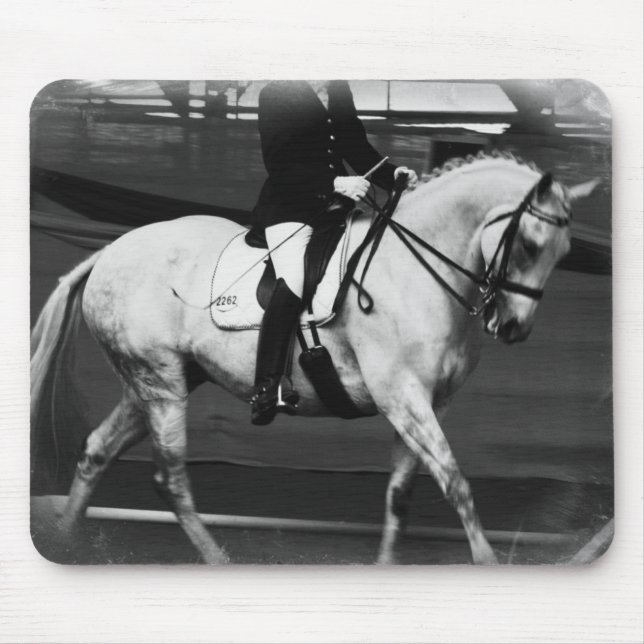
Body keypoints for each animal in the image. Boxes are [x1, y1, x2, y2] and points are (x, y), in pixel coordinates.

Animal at [31, 154, 599, 564]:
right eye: (529, 244)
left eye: (564, 253)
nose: (513, 328)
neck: (415, 270)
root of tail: (107, 253)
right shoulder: (404, 397)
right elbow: (457, 484)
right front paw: (487, 564)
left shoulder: (422, 404)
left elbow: (400, 496)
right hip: (161, 385)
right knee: (170, 479)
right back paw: (218, 560)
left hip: (154, 384)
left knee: (97, 450)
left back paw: (66, 545)